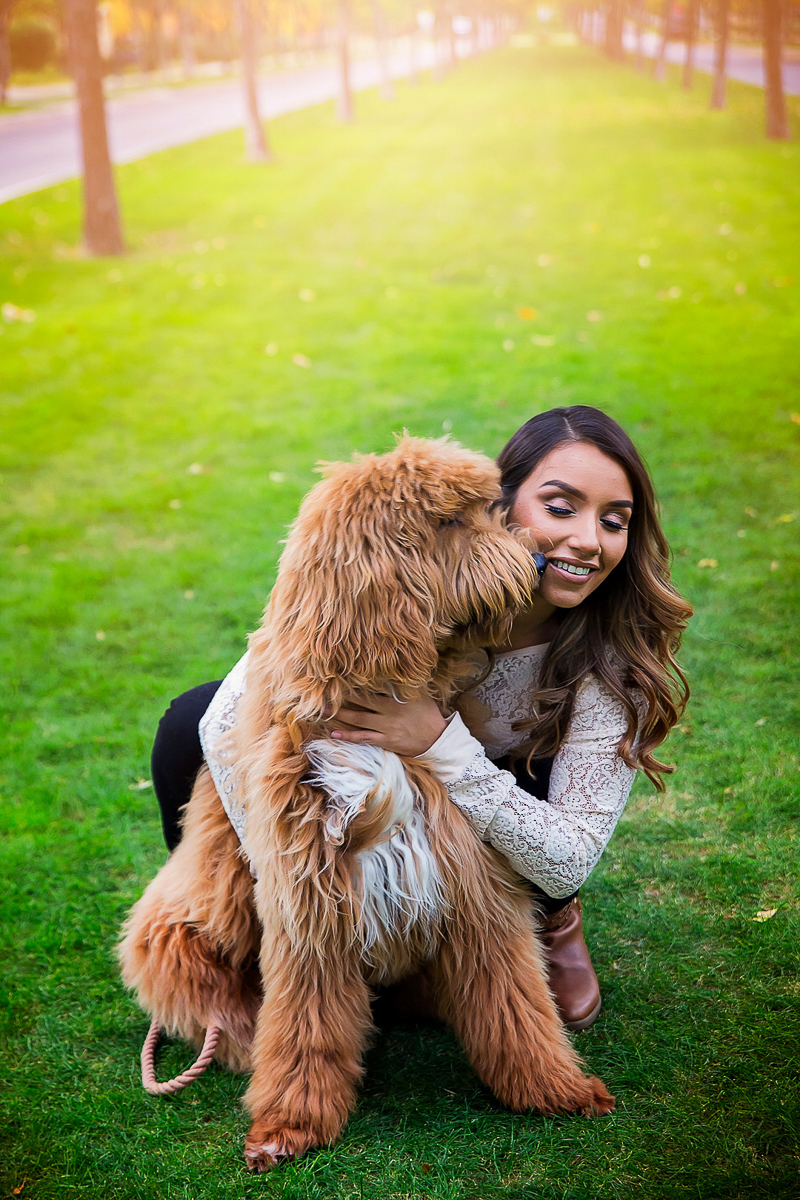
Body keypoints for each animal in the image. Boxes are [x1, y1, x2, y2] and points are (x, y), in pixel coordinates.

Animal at [118, 436, 618, 1166]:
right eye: (449, 522)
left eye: (491, 509)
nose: (533, 562)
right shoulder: (308, 910)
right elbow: (303, 1031)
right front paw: (288, 1125)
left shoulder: (476, 890)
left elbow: (517, 1006)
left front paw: (557, 1087)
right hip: (181, 936)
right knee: (221, 1010)